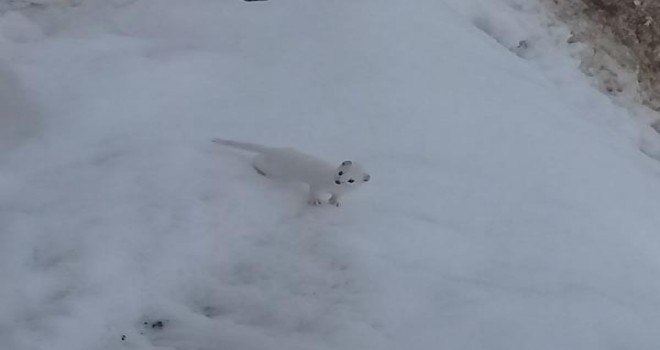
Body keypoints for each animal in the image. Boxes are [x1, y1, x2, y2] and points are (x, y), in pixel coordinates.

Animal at [211, 138, 368, 206]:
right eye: (341, 172)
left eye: (351, 180)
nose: (338, 181)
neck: (333, 186)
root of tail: (272, 150)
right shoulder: (317, 184)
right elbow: (313, 191)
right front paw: (315, 201)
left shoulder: (341, 191)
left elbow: (337, 196)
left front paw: (335, 202)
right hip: (272, 168)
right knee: (257, 161)